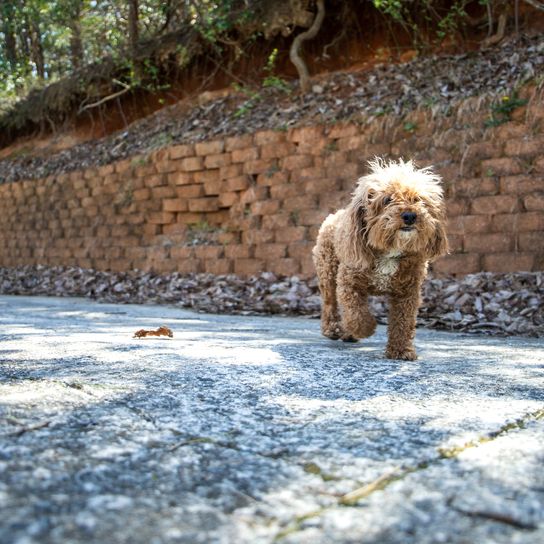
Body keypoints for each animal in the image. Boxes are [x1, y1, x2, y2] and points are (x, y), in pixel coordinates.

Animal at [312, 158, 448, 362]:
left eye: (418, 199)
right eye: (387, 200)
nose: (410, 215)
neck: (389, 251)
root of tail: (334, 215)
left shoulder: (408, 293)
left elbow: (403, 322)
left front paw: (400, 350)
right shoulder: (348, 283)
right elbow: (356, 314)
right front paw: (365, 329)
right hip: (328, 272)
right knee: (330, 304)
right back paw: (334, 329)